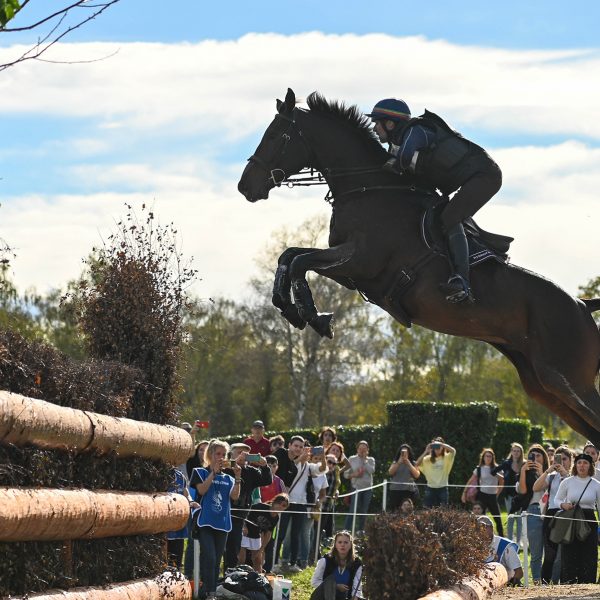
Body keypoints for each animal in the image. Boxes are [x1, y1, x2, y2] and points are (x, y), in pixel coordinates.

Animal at [238, 88, 600, 446]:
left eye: (278, 136)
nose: (245, 186)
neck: (368, 189)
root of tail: (582, 305)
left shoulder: (360, 261)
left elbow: (300, 262)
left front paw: (313, 316)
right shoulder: (350, 271)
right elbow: (289, 257)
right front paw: (291, 309)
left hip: (568, 380)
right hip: (544, 387)